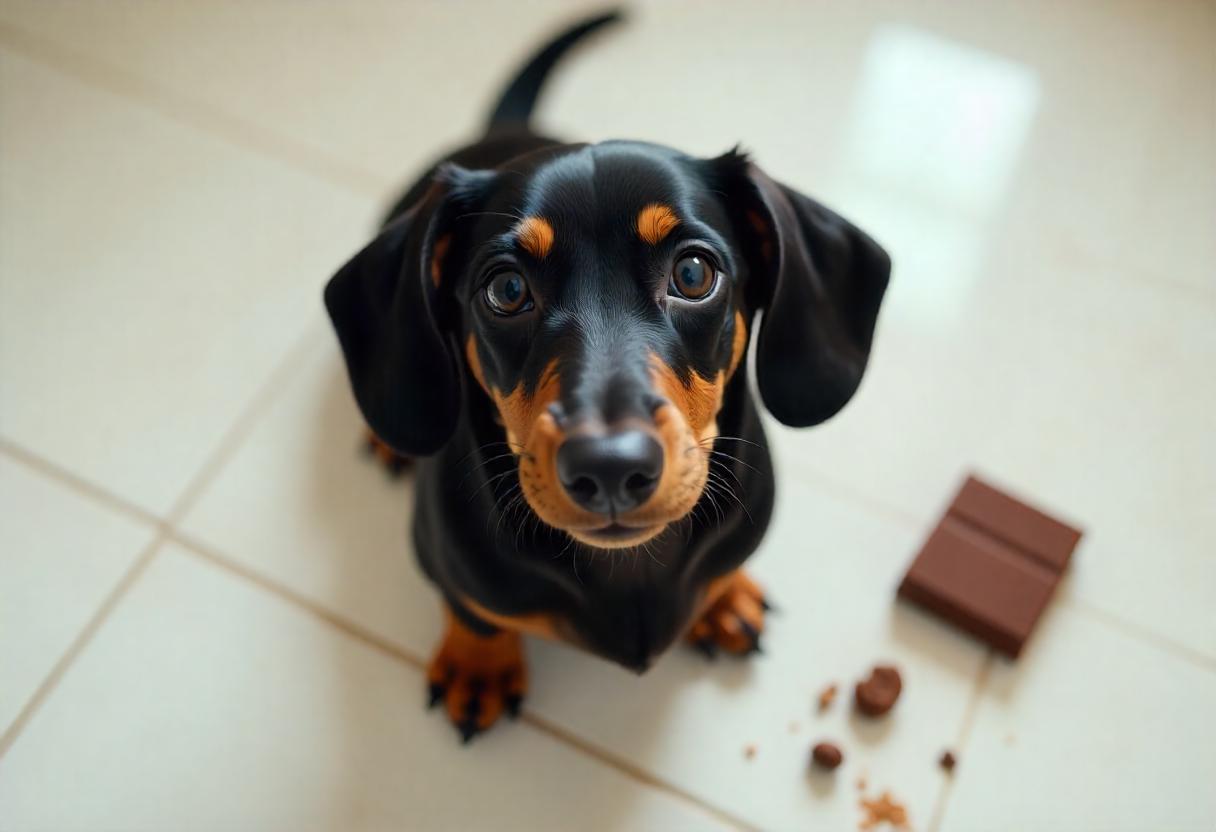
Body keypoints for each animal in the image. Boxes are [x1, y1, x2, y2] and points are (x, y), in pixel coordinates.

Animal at [328, 11, 890, 739]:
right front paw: (478, 668)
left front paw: (724, 598)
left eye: (693, 272)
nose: (611, 469)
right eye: (506, 289)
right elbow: (473, 612)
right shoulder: (441, 559)